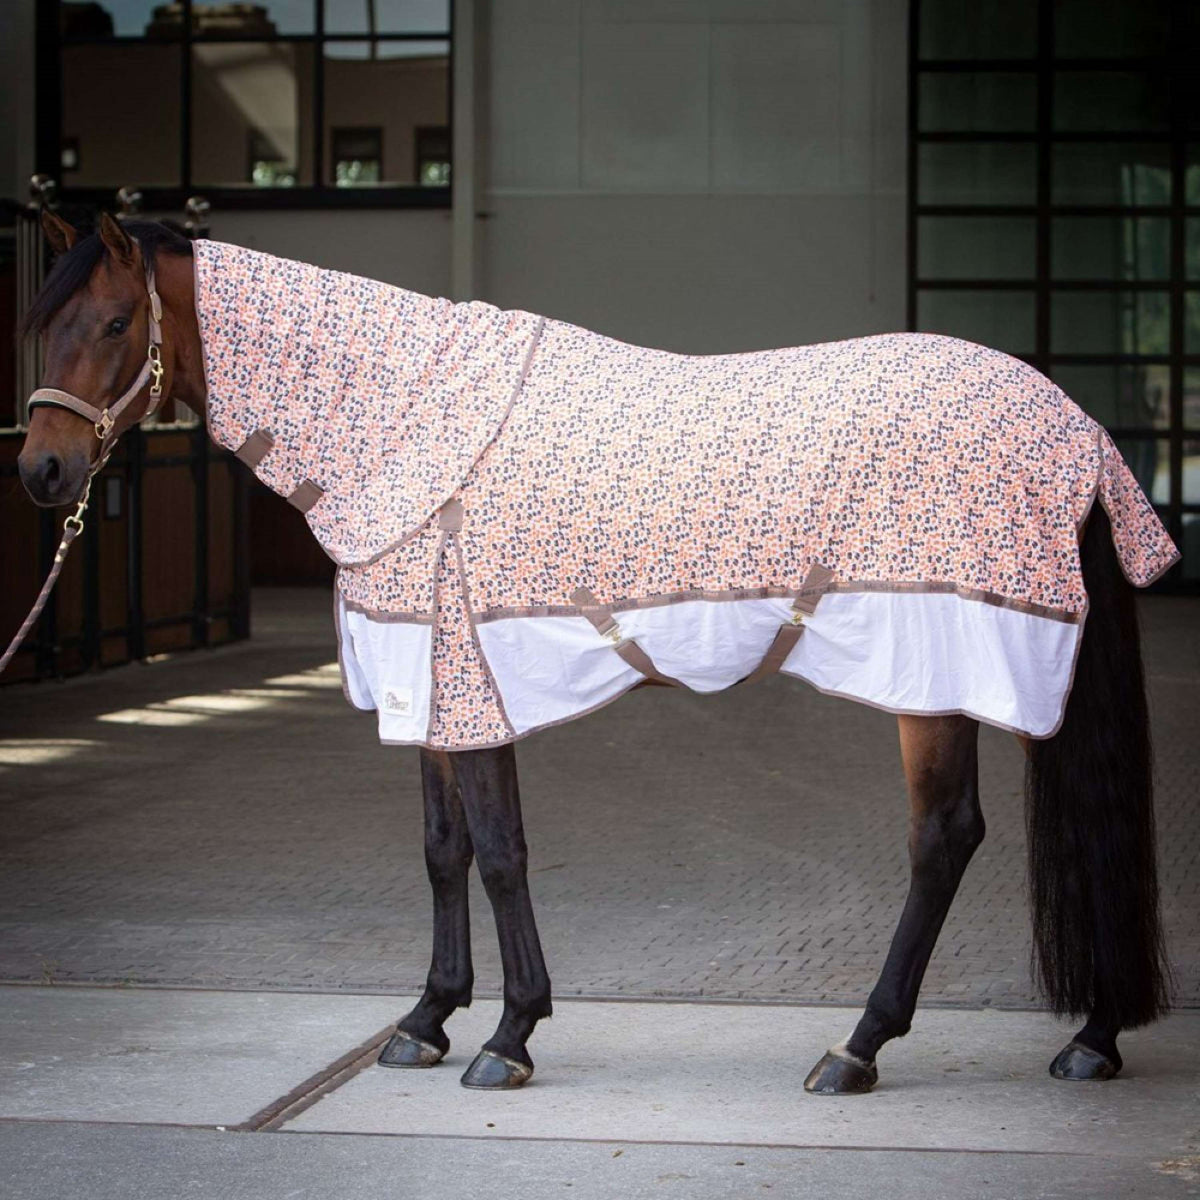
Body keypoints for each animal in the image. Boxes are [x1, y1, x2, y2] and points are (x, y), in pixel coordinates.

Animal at [14, 211, 1173, 1094]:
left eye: (114, 322)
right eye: (40, 327)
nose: (42, 471)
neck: (403, 420)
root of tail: (1076, 426)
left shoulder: (469, 678)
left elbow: (500, 852)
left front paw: (509, 1036)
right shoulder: (426, 687)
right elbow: (442, 851)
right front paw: (425, 1021)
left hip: (945, 672)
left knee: (944, 837)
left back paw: (860, 1047)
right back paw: (1090, 1036)